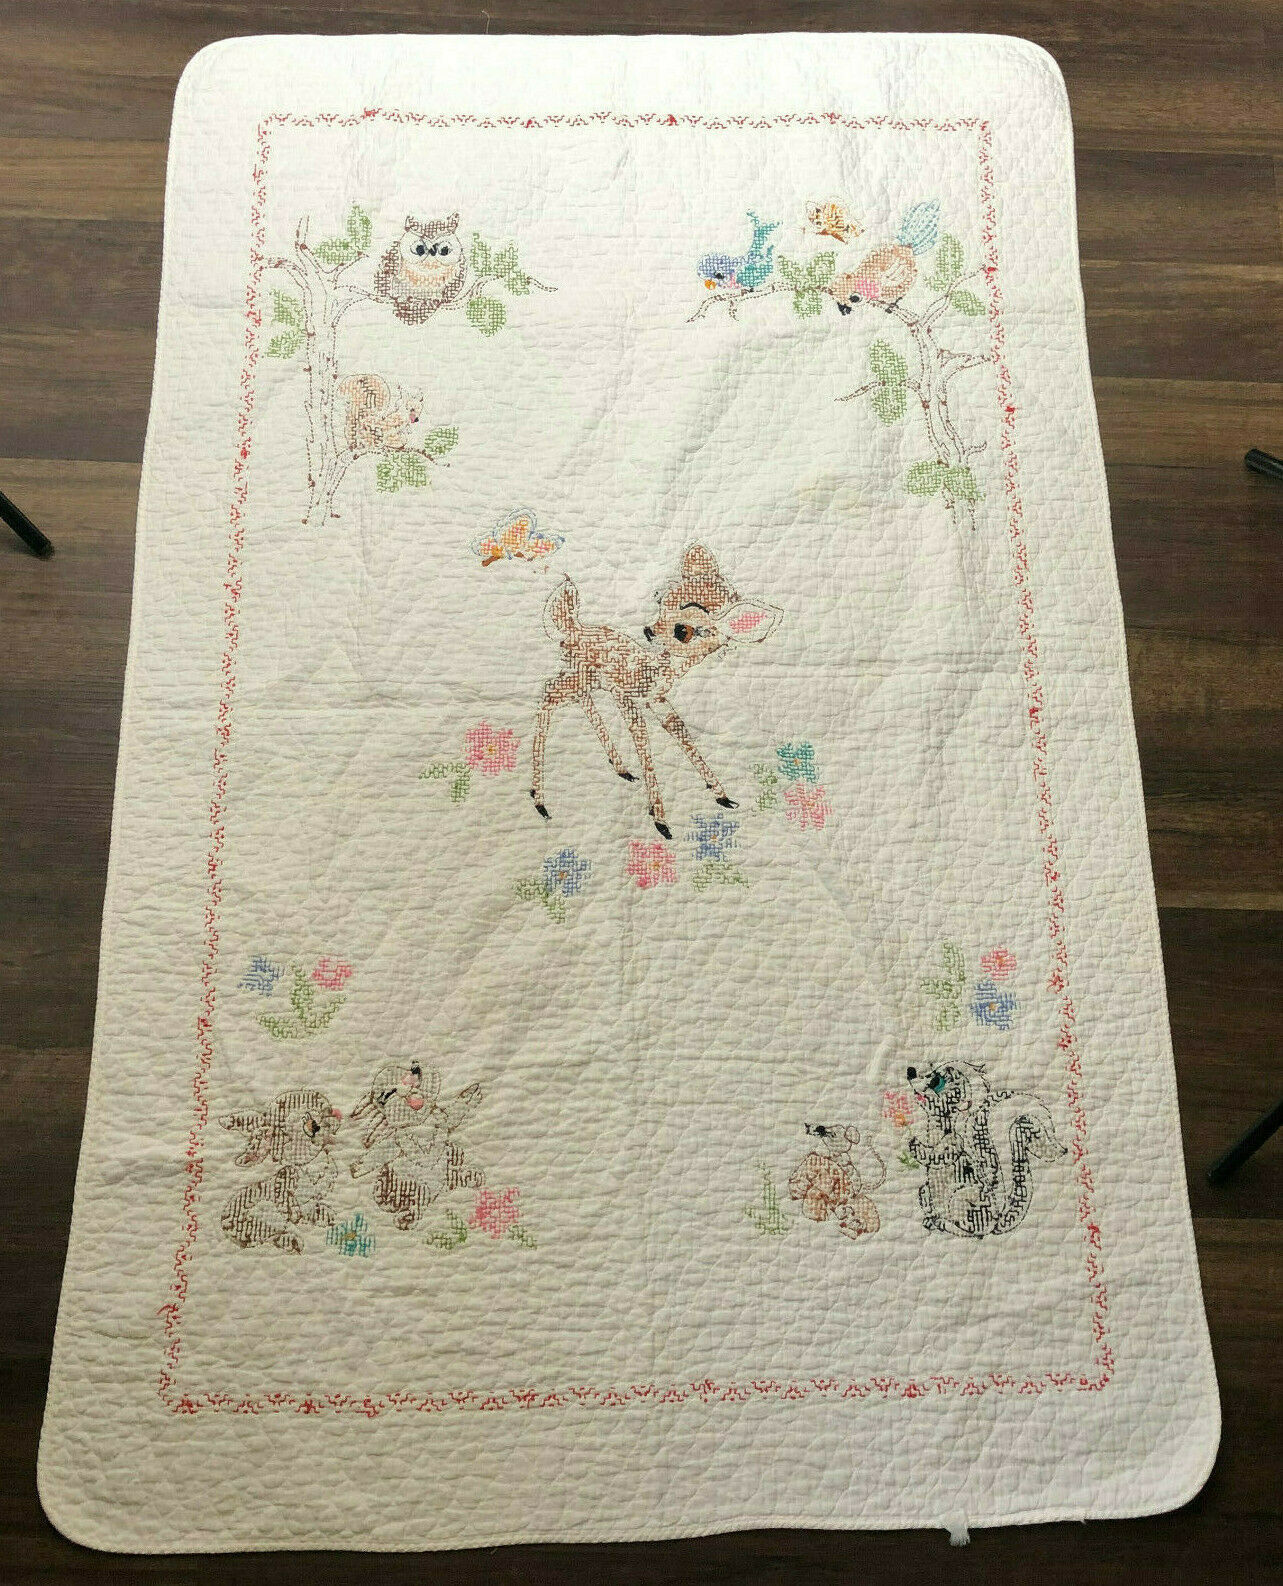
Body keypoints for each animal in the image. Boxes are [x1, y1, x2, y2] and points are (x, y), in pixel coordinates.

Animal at [219, 1088, 342, 1253]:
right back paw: (290, 1241)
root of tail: (224, 1221)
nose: (313, 1126)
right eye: (285, 1138)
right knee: (268, 1235)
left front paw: (322, 1214)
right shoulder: (286, 1189)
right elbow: (292, 1205)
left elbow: (311, 1206)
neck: (313, 1166)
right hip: (263, 1213)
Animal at [349, 1060, 484, 1230]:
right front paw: (356, 1168)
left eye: (408, 1069)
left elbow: (454, 1113)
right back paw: (407, 1219)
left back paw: (470, 1176)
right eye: (389, 1094)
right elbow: (382, 1152)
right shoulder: (397, 1142)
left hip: (449, 1161)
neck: (421, 1125)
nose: (415, 1068)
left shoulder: (444, 1121)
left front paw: (471, 1094)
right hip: (417, 1189)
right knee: (417, 1205)